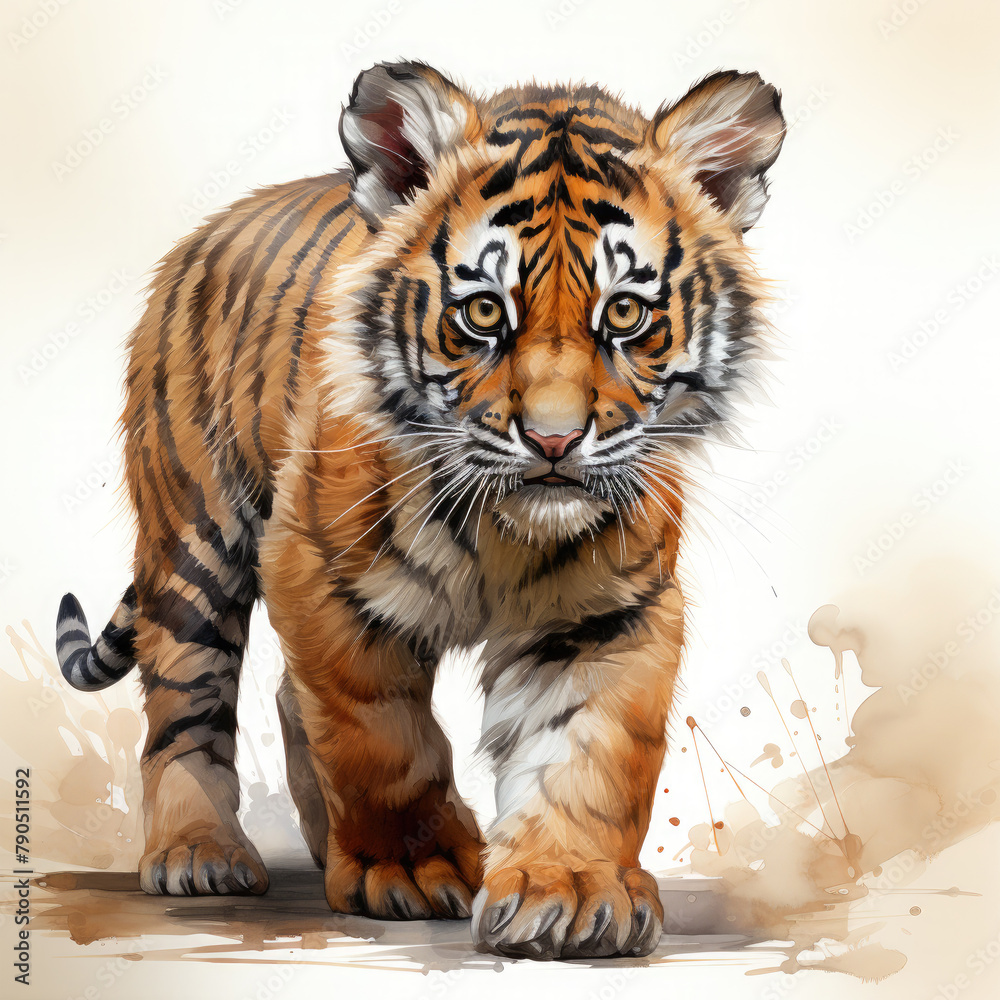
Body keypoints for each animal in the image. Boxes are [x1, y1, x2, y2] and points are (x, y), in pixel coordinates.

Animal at [54, 61, 784, 959]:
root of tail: (214, 227)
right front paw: (412, 867)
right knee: (184, 702)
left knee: (285, 699)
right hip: (198, 541)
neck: (507, 531)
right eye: (483, 312)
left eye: (624, 313)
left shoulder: (612, 609)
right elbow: (376, 738)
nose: (553, 440)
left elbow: (591, 749)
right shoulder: (320, 573)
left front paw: (573, 892)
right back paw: (201, 854)